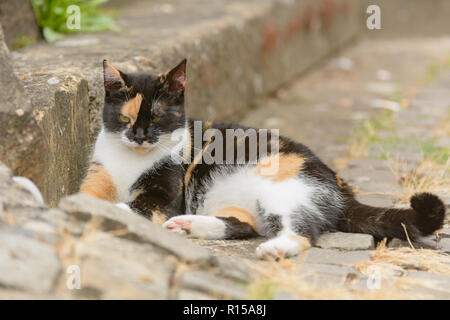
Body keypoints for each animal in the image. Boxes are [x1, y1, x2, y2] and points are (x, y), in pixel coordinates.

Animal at [79, 58, 444, 260]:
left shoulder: (165, 193)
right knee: (244, 224)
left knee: (302, 229)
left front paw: (111, 211)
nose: (140, 137)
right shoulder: (99, 172)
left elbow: (140, 205)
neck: (131, 160)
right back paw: (189, 225)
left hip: (287, 188)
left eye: (156, 118)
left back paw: (276, 248)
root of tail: (341, 187)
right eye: (125, 119)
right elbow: (88, 195)